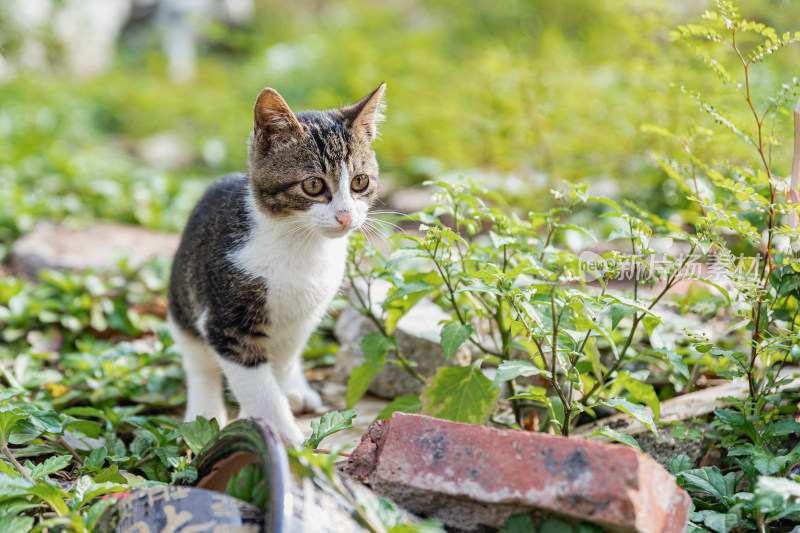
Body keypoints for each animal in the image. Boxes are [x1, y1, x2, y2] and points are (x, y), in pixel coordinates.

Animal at [167, 84, 386, 440]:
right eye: (313, 185)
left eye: (360, 182)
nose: (345, 216)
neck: (300, 246)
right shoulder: (226, 322)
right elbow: (258, 385)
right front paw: (287, 438)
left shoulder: (302, 318)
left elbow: (279, 367)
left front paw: (271, 417)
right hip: (182, 297)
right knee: (198, 361)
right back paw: (205, 411)